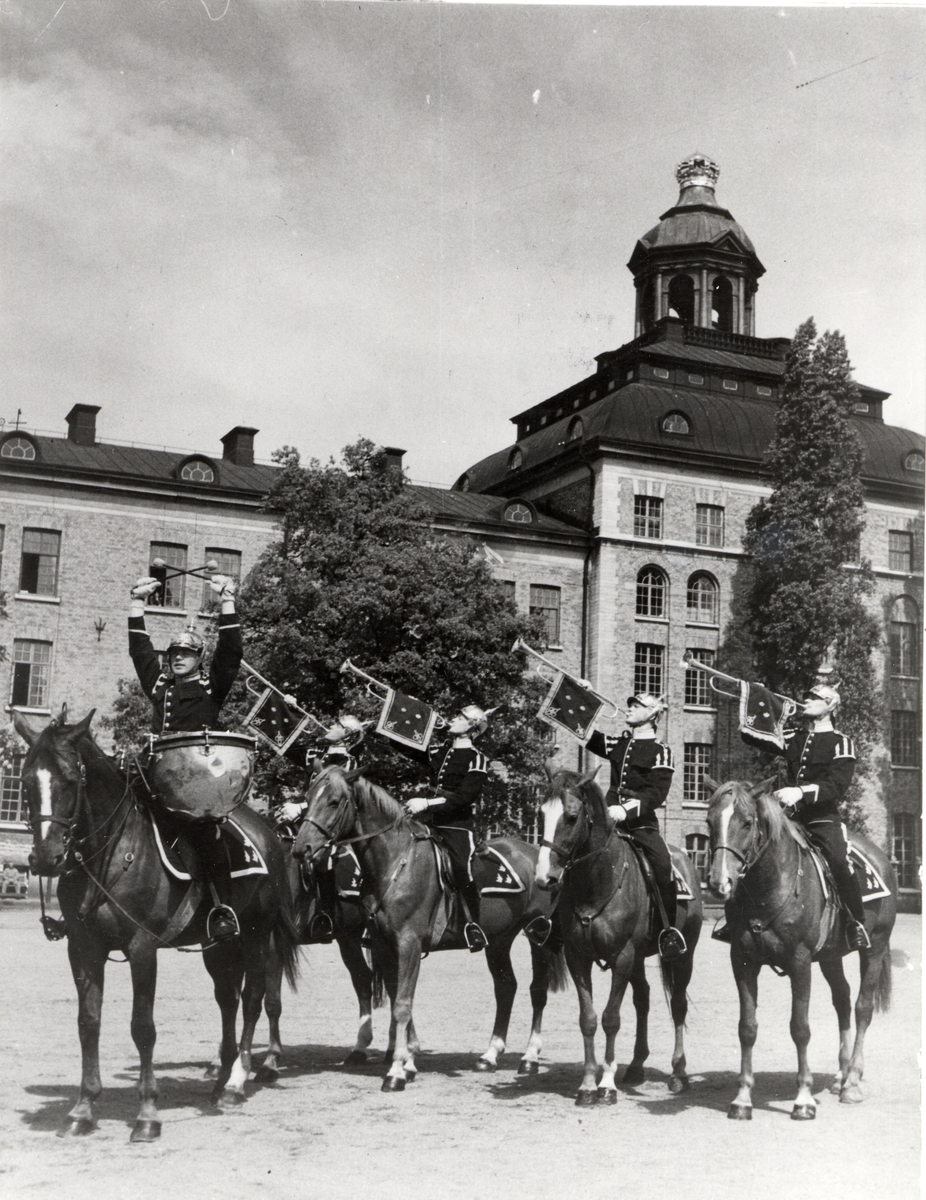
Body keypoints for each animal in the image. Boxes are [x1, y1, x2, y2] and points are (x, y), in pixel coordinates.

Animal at [15, 708, 300, 1142]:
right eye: (26, 780)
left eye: (70, 779)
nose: (46, 858)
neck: (111, 855)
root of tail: (266, 830)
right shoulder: (82, 948)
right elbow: (88, 1023)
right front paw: (82, 1109)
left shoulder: (142, 948)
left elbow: (142, 1027)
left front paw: (147, 1114)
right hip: (219, 945)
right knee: (228, 999)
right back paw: (220, 1079)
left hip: (255, 936)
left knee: (253, 999)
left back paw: (236, 1083)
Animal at [292, 766, 568, 1091]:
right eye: (309, 797)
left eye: (334, 801)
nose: (301, 849)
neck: (397, 863)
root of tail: (538, 853)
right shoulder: (385, 944)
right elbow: (398, 997)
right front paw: (409, 1060)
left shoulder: (408, 943)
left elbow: (401, 1003)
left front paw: (396, 1071)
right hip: (499, 940)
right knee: (506, 987)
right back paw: (490, 1055)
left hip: (538, 933)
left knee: (537, 991)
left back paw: (530, 1057)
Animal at [535, 767, 703, 1106]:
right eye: (540, 814)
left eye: (572, 817)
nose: (545, 877)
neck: (597, 880)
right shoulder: (578, 958)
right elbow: (588, 1019)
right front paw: (588, 1084)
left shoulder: (621, 957)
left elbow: (611, 1018)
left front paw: (607, 1085)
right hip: (638, 959)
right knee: (643, 999)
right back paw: (637, 1066)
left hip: (683, 955)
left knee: (678, 1005)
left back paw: (678, 1074)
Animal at [705, 776, 897, 1120]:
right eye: (709, 821)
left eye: (747, 822)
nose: (718, 882)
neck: (769, 886)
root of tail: (879, 856)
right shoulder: (742, 961)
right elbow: (747, 1028)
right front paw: (742, 1099)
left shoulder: (799, 962)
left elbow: (800, 1028)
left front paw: (804, 1099)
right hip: (831, 957)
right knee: (842, 1001)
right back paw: (840, 1075)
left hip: (873, 950)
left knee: (862, 1008)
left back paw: (853, 1082)